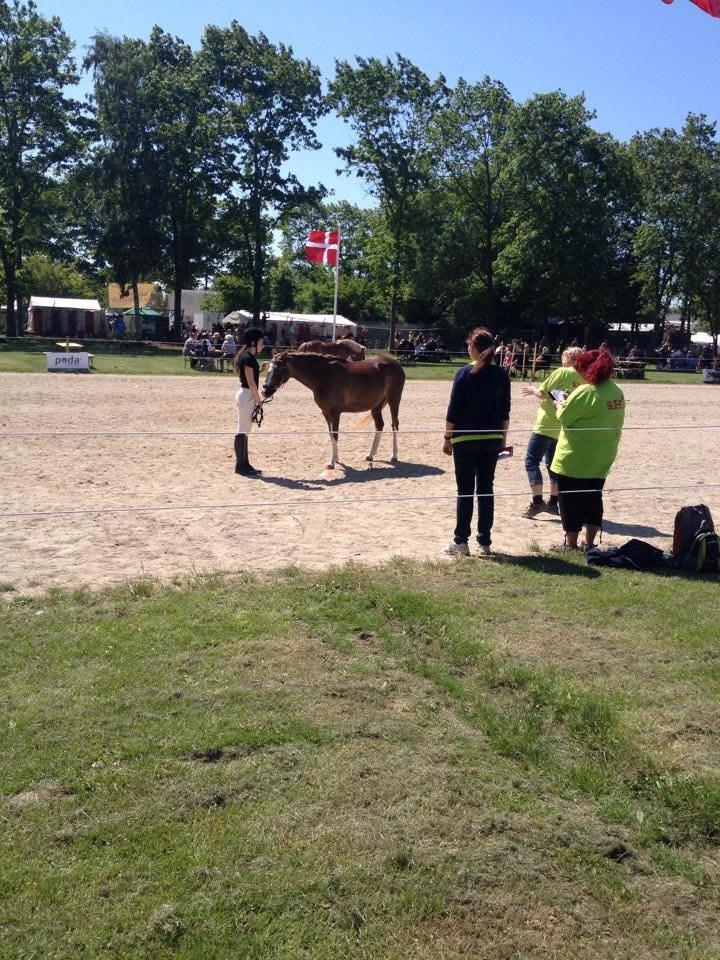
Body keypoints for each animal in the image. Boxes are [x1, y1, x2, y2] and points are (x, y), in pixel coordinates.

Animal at [262, 354, 404, 470]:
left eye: (278, 370)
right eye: (269, 370)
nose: (265, 391)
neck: (324, 376)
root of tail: (396, 364)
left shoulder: (335, 412)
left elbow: (335, 435)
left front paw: (331, 463)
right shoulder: (325, 412)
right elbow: (331, 435)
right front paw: (335, 459)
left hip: (394, 401)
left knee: (394, 425)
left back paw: (394, 455)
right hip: (376, 406)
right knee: (379, 426)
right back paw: (370, 455)